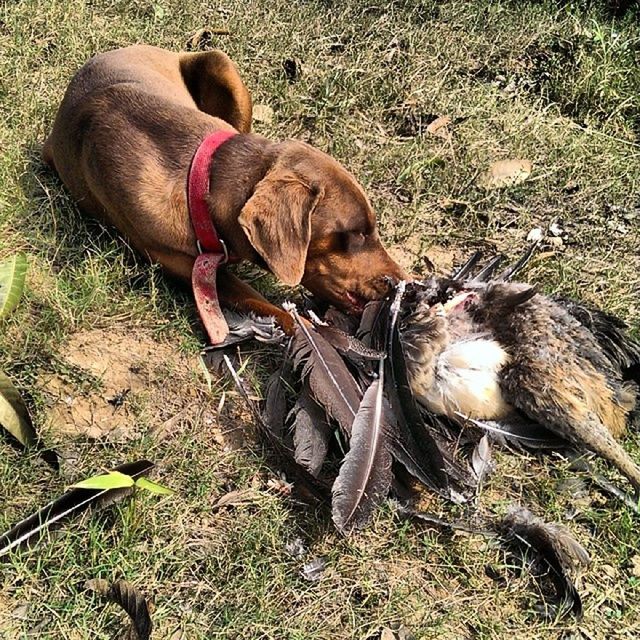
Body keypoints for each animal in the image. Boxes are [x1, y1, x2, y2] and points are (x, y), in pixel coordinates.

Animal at [42, 46, 404, 330]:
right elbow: (277, 312)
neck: (200, 183)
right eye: (355, 234)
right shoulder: (188, 268)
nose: (401, 282)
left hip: (222, 66)